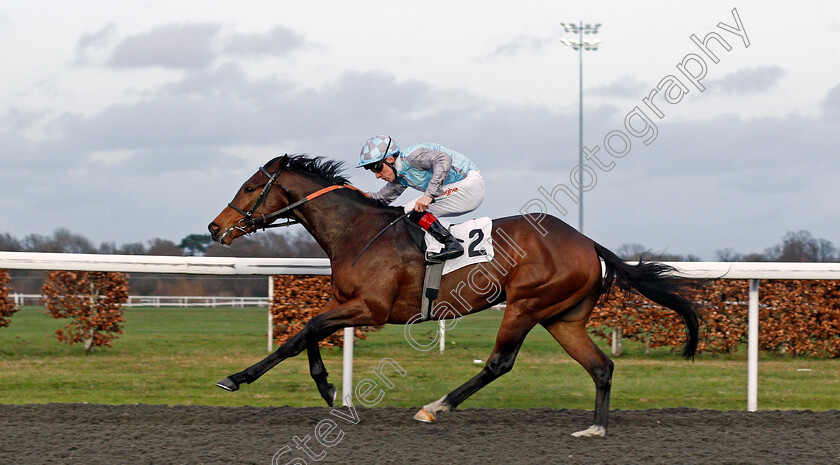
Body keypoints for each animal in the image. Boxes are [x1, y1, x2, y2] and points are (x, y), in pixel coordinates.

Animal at [208, 154, 704, 436]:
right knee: (601, 367)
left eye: (250, 187)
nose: (215, 227)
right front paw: (269, 380)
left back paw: (436, 407)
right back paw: (596, 429)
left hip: (526, 304)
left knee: (499, 363)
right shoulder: (345, 303)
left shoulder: (371, 308)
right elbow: (300, 336)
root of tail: (588, 244)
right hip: (561, 317)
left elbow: (307, 329)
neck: (358, 231)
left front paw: (319, 387)